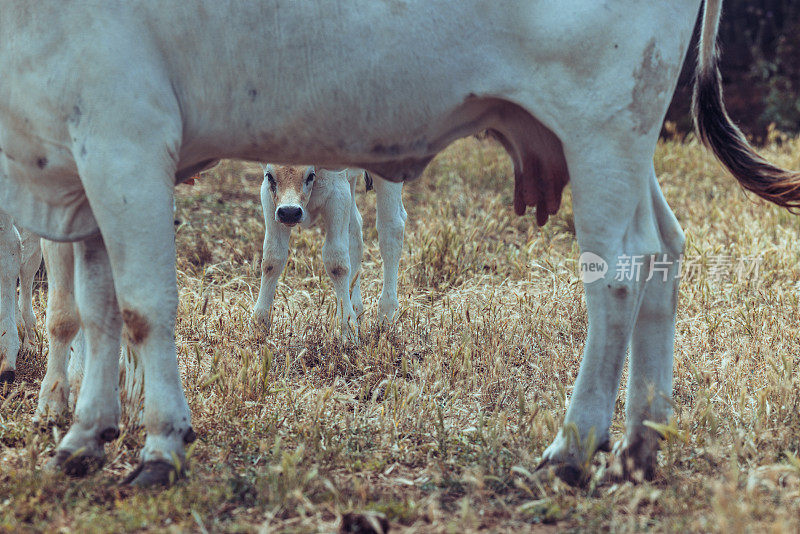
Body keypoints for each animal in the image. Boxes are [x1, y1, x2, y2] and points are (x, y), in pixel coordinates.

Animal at [253, 163, 406, 344]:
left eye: (310, 175)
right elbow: (272, 258)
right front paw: (260, 321)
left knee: (391, 229)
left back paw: (387, 315)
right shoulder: (270, 200)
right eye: (270, 176)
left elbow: (337, 262)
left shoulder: (338, 195)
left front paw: (347, 329)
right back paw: (357, 309)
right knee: (355, 231)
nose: (290, 212)